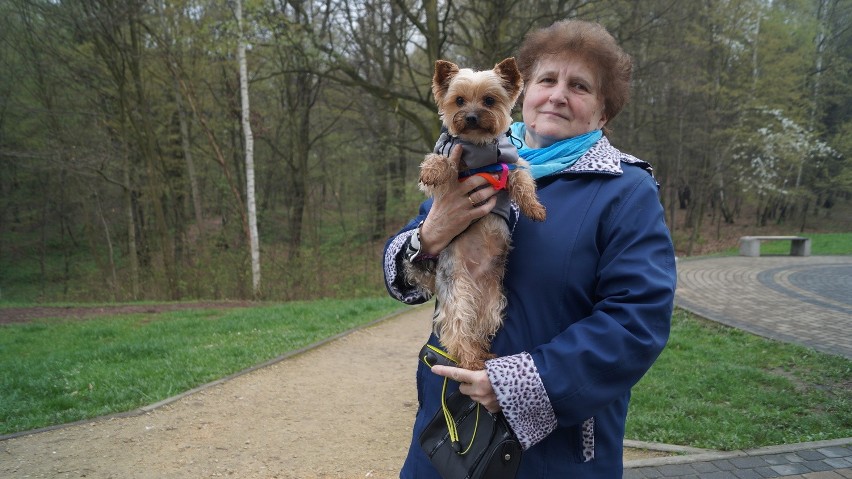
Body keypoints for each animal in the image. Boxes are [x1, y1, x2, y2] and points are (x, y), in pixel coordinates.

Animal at [406, 59, 544, 372]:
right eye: (459, 100)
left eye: (489, 101)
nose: (469, 117)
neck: (479, 146)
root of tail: (475, 282)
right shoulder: (450, 158)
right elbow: (439, 161)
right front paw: (433, 169)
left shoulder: (512, 163)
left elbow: (523, 180)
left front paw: (534, 208)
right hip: (458, 293)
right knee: (457, 331)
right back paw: (471, 362)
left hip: (492, 303)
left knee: (477, 329)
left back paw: (482, 355)